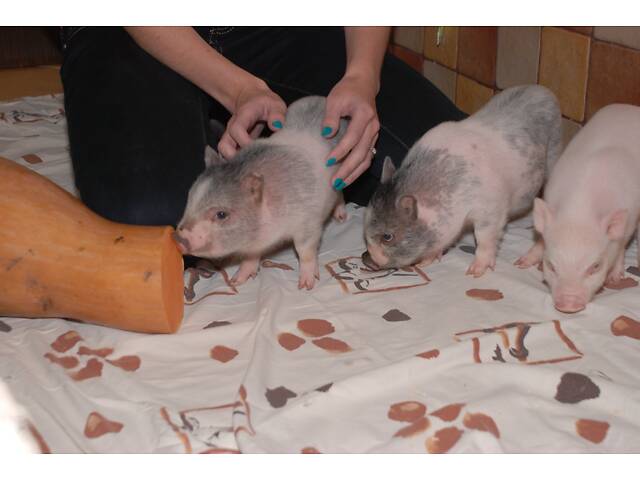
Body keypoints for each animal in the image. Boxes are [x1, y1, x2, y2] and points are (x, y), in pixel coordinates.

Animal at [174, 96, 348, 290]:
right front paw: (237, 280)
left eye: (221, 214)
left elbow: (305, 250)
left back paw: (341, 217)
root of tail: (322, 99)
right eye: (190, 200)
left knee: (341, 193)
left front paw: (306, 285)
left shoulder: (308, 222)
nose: (178, 239)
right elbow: (251, 255)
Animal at [362, 85, 562, 277]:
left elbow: (484, 237)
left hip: (554, 151)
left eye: (388, 236)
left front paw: (474, 273)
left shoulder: (491, 209)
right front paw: (424, 263)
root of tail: (545, 91)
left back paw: (523, 264)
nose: (368, 259)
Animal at [517, 103, 640, 313]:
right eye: (551, 265)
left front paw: (615, 279)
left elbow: (622, 245)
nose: (568, 305)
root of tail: (630, 107)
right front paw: (521, 263)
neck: (580, 209)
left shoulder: (630, 219)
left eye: (595, 266)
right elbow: (541, 237)